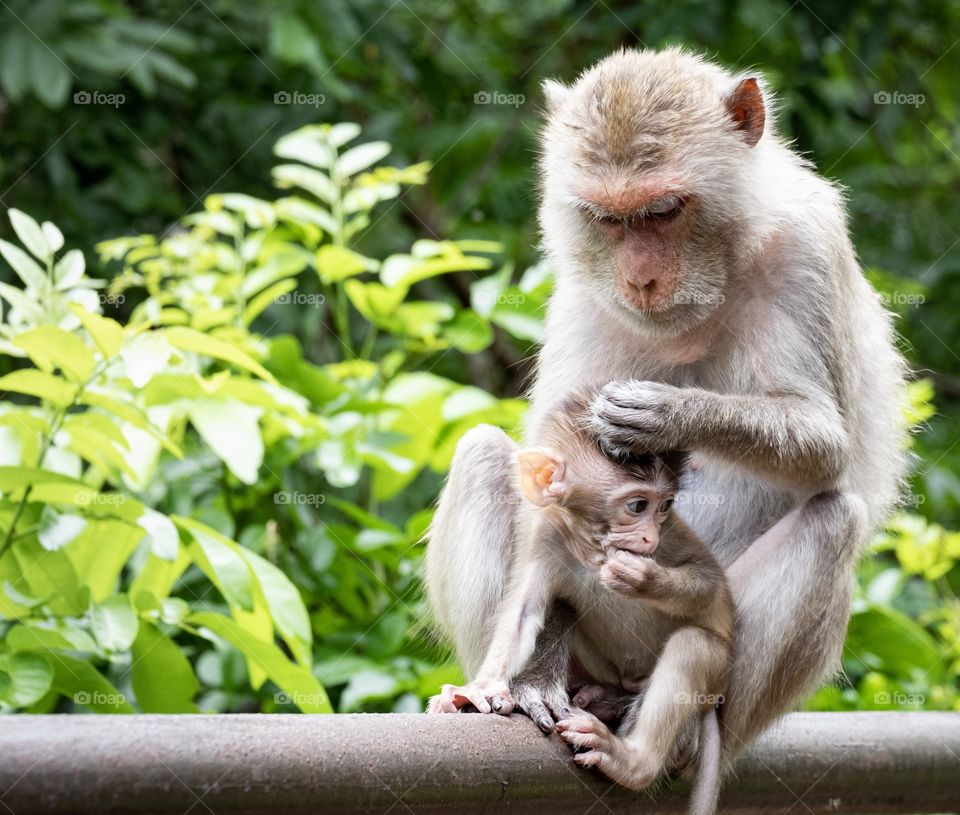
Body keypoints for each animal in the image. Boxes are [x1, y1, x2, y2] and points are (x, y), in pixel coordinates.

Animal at [428, 47, 908, 760]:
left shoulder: (808, 249)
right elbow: (548, 466)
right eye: (608, 219)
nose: (640, 280)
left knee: (832, 520)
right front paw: (535, 679)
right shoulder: (583, 288)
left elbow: (824, 442)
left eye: (662, 211)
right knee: (486, 455)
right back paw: (524, 690)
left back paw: (672, 735)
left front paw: (666, 415)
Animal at [432, 398, 732, 812]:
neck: (590, 548)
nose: (648, 536)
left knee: (695, 646)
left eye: (665, 506)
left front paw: (640, 577)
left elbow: (709, 581)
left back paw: (632, 762)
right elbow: (522, 616)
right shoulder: (546, 536)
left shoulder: (672, 536)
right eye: (637, 505)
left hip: (718, 671)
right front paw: (483, 686)